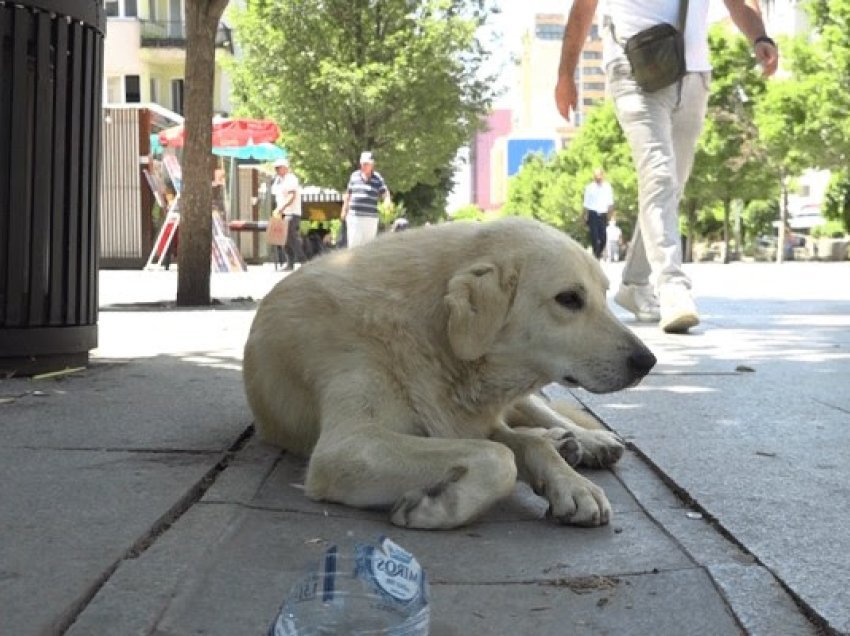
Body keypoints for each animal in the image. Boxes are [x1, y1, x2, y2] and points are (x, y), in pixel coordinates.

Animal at [242, 216, 652, 528]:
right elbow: (499, 457)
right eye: (569, 299)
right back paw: (562, 440)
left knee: (537, 410)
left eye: (604, 294)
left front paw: (573, 484)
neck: (433, 335)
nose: (647, 361)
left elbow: (516, 445)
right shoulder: (348, 446)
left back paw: (585, 440)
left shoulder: (468, 421)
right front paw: (438, 507)